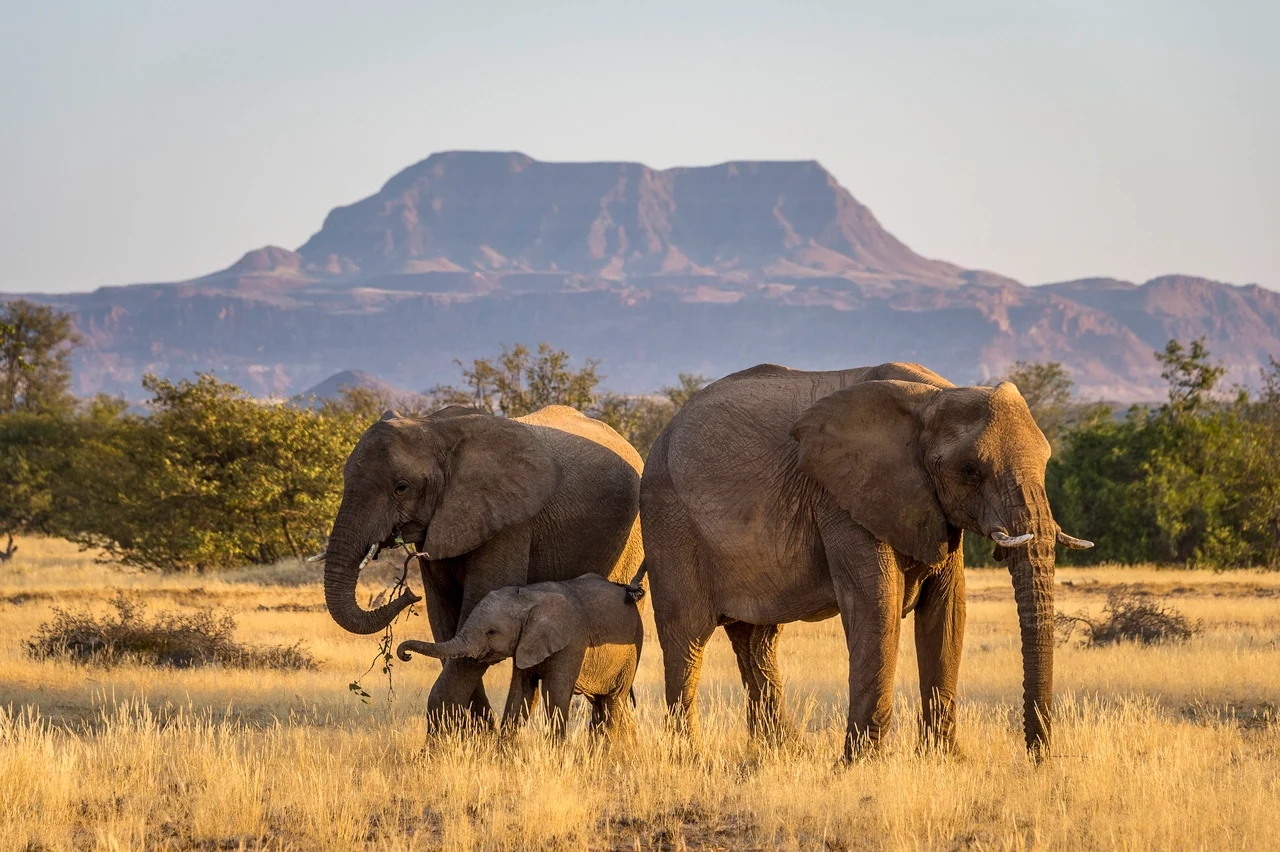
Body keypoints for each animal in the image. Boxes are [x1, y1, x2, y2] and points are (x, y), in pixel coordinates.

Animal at [397, 572, 645, 739]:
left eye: (491, 632)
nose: (404, 654)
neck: (528, 598)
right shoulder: (525, 643)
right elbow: (521, 692)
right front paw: (503, 758)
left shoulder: (573, 641)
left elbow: (555, 693)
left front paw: (556, 759)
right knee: (600, 703)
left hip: (633, 646)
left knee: (613, 700)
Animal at [638, 362, 1093, 760]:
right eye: (969, 469)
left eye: (1047, 461)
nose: (1038, 758)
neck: (933, 396)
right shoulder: (842, 498)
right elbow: (878, 605)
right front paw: (859, 765)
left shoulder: (933, 508)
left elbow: (947, 613)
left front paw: (945, 761)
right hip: (670, 522)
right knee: (687, 636)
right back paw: (689, 758)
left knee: (756, 640)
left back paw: (783, 753)